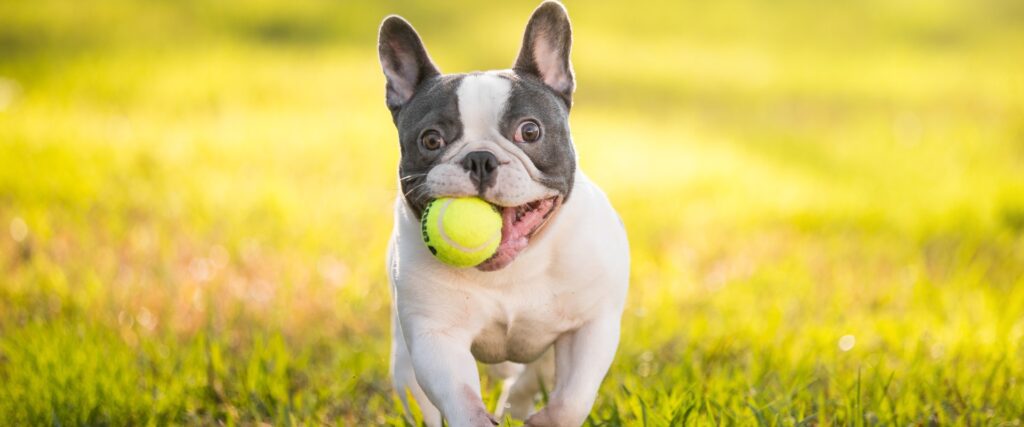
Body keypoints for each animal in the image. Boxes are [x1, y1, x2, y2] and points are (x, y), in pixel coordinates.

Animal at [380, 1, 626, 423]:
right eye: (431, 140)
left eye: (529, 132)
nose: (480, 158)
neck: (512, 269)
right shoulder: (436, 336)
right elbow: (460, 396)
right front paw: (479, 418)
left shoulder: (591, 326)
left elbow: (572, 400)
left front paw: (543, 421)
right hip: (404, 362)